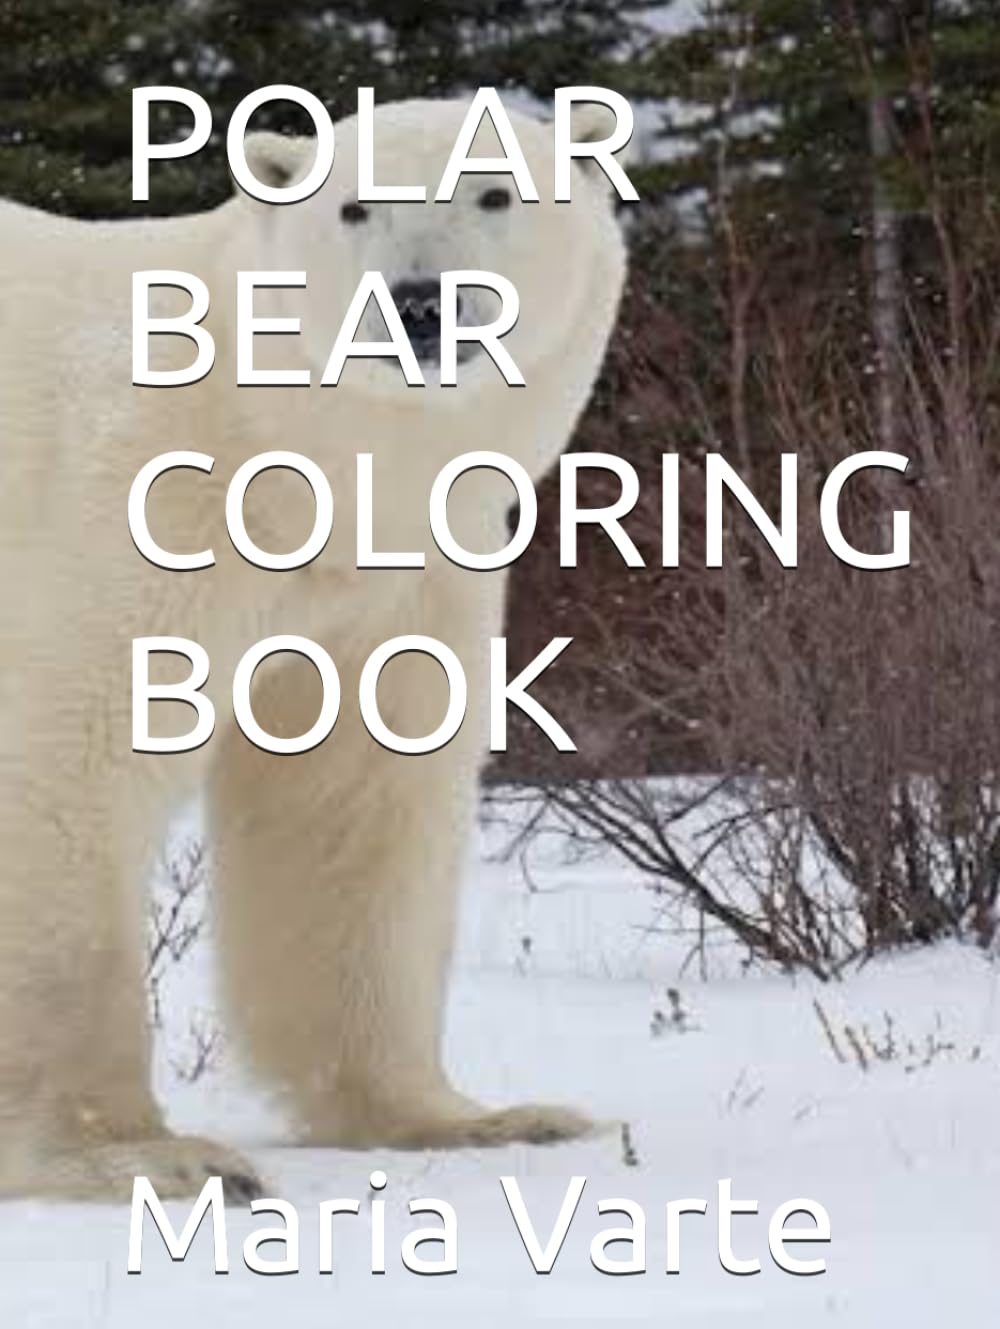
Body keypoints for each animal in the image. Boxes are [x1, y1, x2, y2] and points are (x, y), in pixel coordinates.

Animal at [0, 97, 629, 1201]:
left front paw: (472, 1117)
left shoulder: (393, 577)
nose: (420, 302)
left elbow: (351, 799)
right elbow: (67, 764)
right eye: (354, 206)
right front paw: (137, 1154)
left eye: (495, 191)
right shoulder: (120, 507)